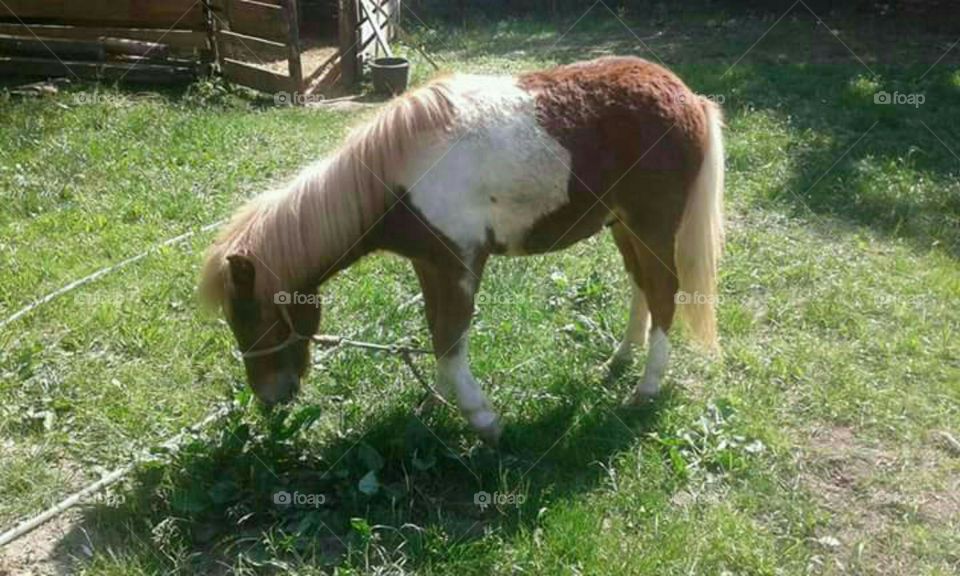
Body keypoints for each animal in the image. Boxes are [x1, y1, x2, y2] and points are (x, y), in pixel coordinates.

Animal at [201, 56, 724, 445]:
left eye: (255, 317)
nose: (270, 398)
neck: (397, 177)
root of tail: (690, 97)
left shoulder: (460, 266)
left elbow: (451, 344)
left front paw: (483, 421)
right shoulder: (429, 264)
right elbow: (438, 336)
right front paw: (434, 403)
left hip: (652, 225)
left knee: (664, 293)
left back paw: (645, 388)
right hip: (623, 225)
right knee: (642, 286)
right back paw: (618, 361)